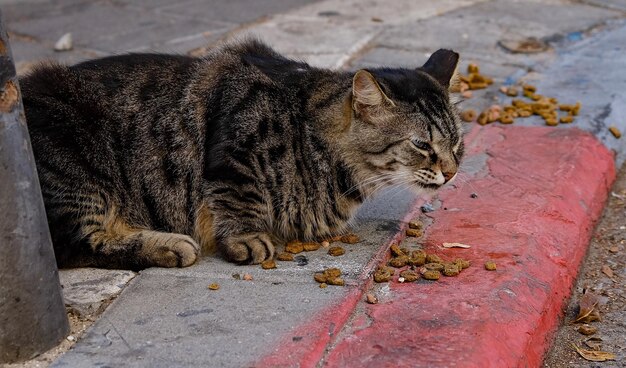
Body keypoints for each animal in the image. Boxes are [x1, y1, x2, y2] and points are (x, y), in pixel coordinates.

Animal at [19, 39, 460, 270]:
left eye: (457, 145)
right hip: (78, 170)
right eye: (422, 145)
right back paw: (168, 245)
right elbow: (239, 197)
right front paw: (246, 239)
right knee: (77, 244)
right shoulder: (234, 146)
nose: (453, 173)